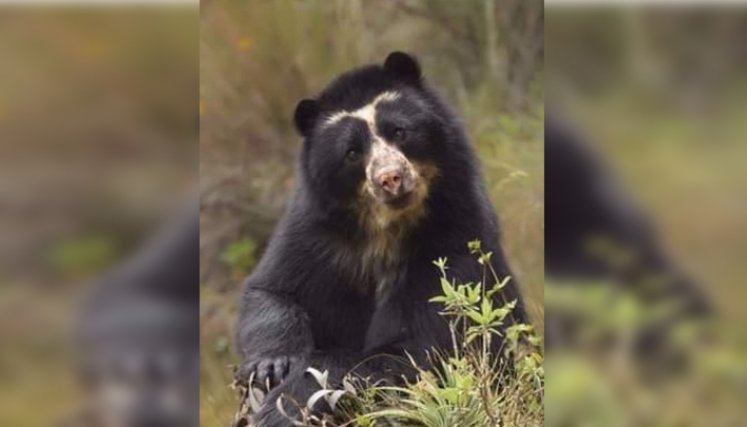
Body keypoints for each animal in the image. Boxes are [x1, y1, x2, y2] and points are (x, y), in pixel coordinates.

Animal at [235, 52, 529, 427]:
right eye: (351, 152)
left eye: (400, 131)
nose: (391, 179)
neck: (383, 229)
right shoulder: (316, 235)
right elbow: (273, 289)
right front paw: (270, 365)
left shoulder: (451, 237)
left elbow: (412, 346)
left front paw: (282, 409)